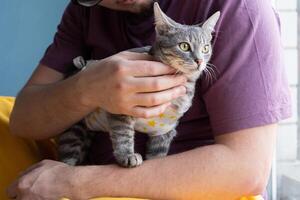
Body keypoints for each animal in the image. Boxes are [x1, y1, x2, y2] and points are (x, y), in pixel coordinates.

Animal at [58, 3, 220, 168]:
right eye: (184, 46)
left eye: (205, 48)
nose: (199, 61)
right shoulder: (120, 109)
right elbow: (123, 135)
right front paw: (127, 156)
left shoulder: (165, 130)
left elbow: (157, 157)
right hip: (73, 132)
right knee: (67, 159)